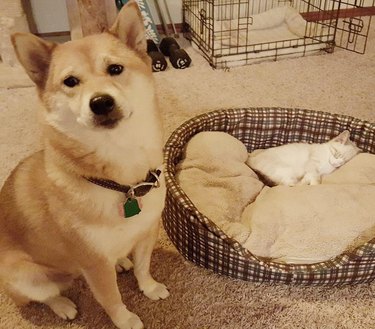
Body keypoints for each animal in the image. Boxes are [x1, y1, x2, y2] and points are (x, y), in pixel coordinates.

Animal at [0, 1, 169, 326]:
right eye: (70, 82)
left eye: (115, 69)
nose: (101, 102)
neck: (123, 182)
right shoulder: (94, 263)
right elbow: (111, 299)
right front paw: (126, 320)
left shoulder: (147, 231)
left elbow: (144, 267)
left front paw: (150, 287)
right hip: (26, 276)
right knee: (45, 295)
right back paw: (63, 305)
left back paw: (122, 262)